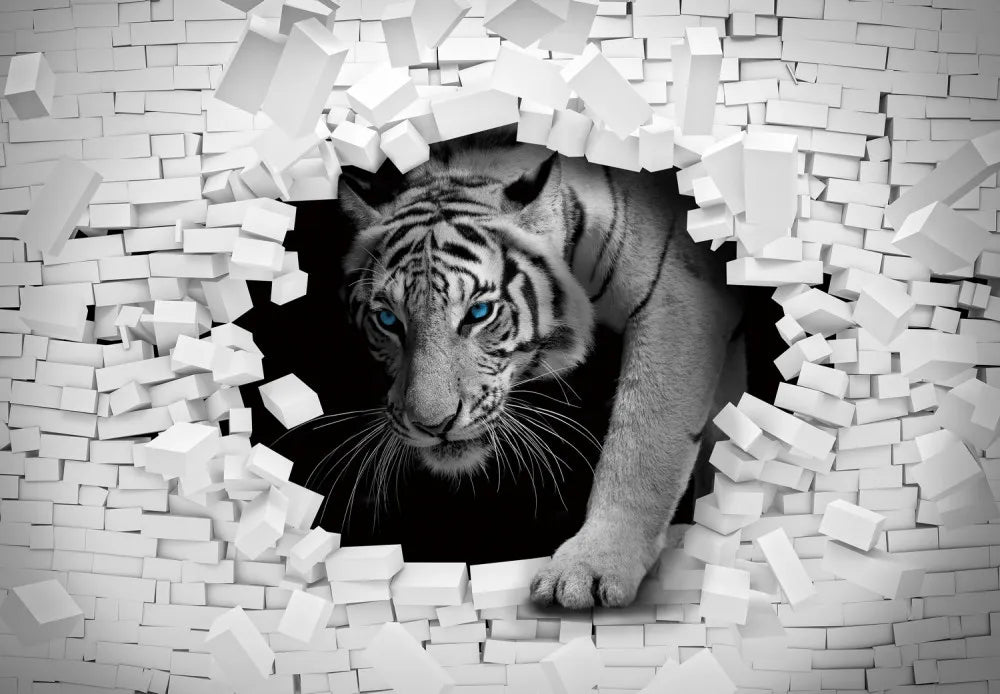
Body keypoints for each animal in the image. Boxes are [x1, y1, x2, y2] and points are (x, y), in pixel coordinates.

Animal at [337, 127, 745, 609]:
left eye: (478, 313)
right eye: (388, 320)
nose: (433, 425)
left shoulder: (678, 297)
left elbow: (644, 443)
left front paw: (589, 569)